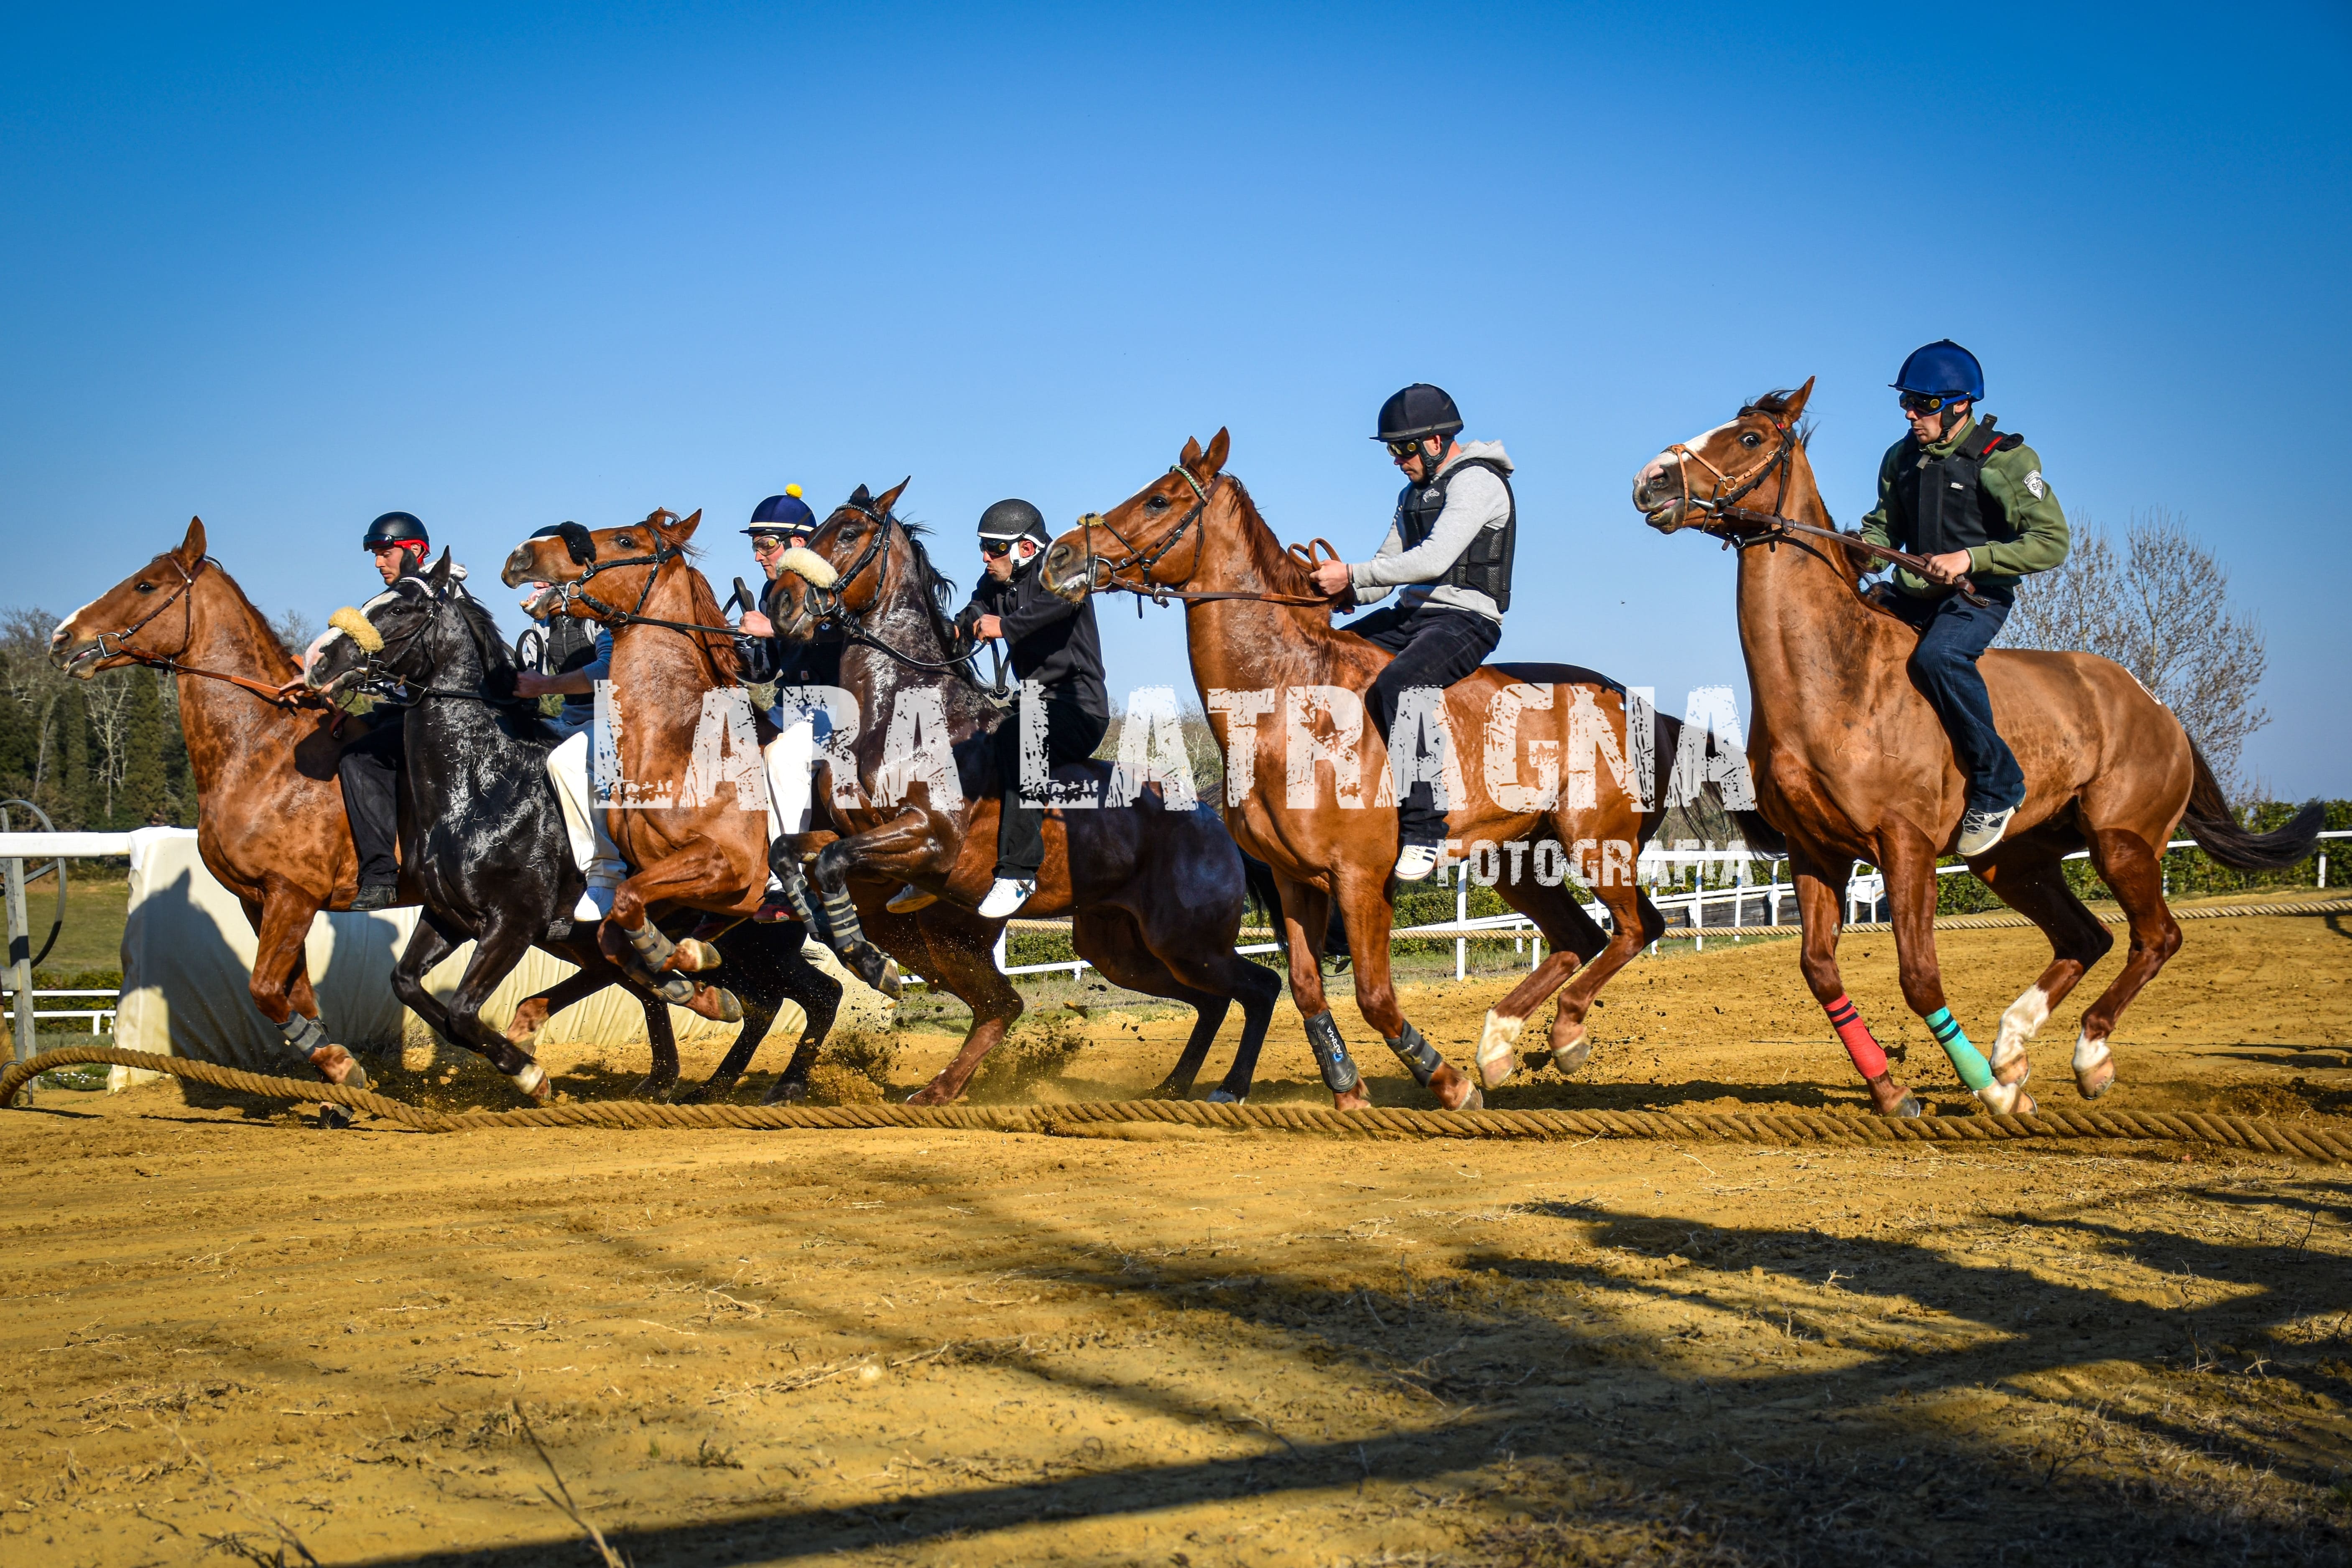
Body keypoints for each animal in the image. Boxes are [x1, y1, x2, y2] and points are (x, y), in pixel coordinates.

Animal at [46, 522, 673, 1086]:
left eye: (145, 585)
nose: (61, 638)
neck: (262, 748)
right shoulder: (259, 902)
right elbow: (294, 996)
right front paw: (337, 1084)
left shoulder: (292, 897)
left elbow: (267, 990)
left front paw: (342, 1068)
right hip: (561, 929)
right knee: (626, 973)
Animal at [301, 557, 837, 1109]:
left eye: (401, 608)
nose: (319, 661)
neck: (482, 785)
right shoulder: (448, 916)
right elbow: (409, 985)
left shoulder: (512, 922)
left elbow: (462, 1010)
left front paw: (529, 1073)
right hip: (739, 946)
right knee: (767, 996)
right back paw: (705, 1072)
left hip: (754, 942)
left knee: (809, 996)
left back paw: (773, 1080)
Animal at [767, 479, 1289, 1105]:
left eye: (847, 533)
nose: (779, 605)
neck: (899, 710)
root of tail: (1212, 820)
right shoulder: (855, 833)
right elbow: (793, 852)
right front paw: (822, 923)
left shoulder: (927, 838)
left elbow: (830, 863)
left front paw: (868, 960)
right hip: (1121, 949)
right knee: (1044, 1003)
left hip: (1186, 941)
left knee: (1260, 986)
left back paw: (1229, 1088)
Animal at [1049, 435, 1693, 1109]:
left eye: (1159, 499)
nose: (1059, 556)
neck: (1289, 700)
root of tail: (1646, 708)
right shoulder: (1294, 881)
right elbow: (1305, 986)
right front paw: (1347, 1089)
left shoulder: (1360, 880)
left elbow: (1373, 995)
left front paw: (1445, 1081)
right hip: (1513, 859)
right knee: (1581, 937)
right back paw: (1498, 1045)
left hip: (1595, 842)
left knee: (1635, 927)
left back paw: (1562, 1036)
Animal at [1628, 383, 2324, 1114]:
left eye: (1750, 439)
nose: (1650, 480)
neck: (1834, 679)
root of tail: (2156, 705)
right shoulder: (1815, 851)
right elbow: (1819, 972)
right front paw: (1892, 1089)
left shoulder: (1904, 847)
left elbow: (1919, 976)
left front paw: (1990, 1093)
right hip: (2013, 860)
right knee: (2088, 935)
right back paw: (2012, 1044)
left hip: (2121, 843)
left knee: (2155, 936)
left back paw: (2086, 1054)